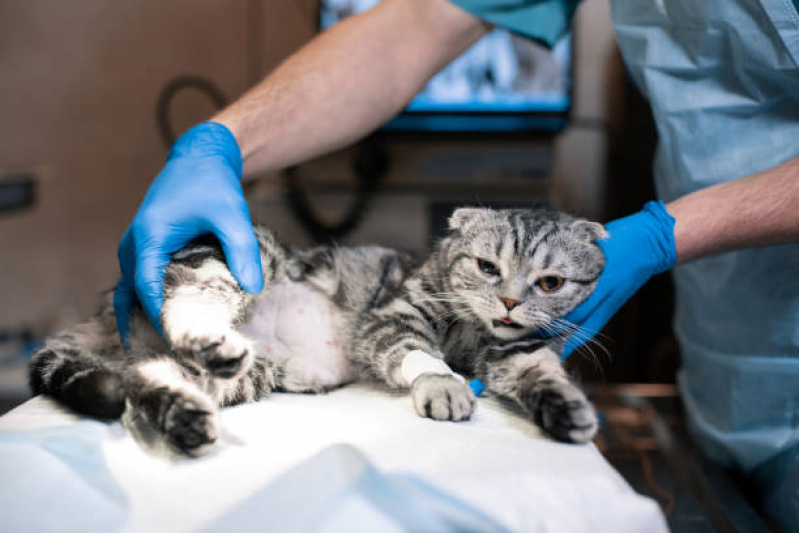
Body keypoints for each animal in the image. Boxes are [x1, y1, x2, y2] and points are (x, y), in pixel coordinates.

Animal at [29, 206, 608, 456]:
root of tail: (105, 314)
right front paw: (444, 383)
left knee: (148, 376)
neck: (475, 331)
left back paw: (188, 419)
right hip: (240, 254)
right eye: (488, 267)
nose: (509, 302)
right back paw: (210, 337)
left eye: (550, 282)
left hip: (225, 375)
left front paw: (567, 409)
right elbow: (419, 352)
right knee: (189, 301)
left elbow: (541, 372)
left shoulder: (520, 351)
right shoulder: (393, 316)